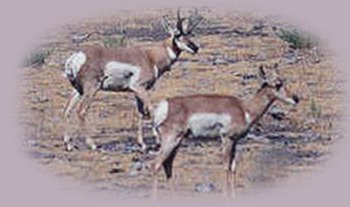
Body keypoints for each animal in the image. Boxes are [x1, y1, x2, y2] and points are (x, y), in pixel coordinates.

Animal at [62, 9, 204, 151]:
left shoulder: (136, 91)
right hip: (92, 89)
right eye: (177, 35)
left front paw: (142, 144)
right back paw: (92, 144)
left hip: (78, 90)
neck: (150, 57)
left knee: (67, 110)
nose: (195, 48)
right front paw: (157, 141)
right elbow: (150, 109)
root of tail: (76, 57)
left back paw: (69, 144)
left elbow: (140, 112)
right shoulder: (140, 88)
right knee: (81, 111)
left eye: (189, 34)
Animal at [152, 66, 300, 194]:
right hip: (171, 141)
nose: (296, 99)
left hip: (177, 142)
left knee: (167, 166)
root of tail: (165, 104)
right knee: (157, 164)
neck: (244, 109)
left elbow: (233, 168)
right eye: (277, 84)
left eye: (283, 81)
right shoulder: (226, 139)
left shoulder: (235, 141)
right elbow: (226, 167)